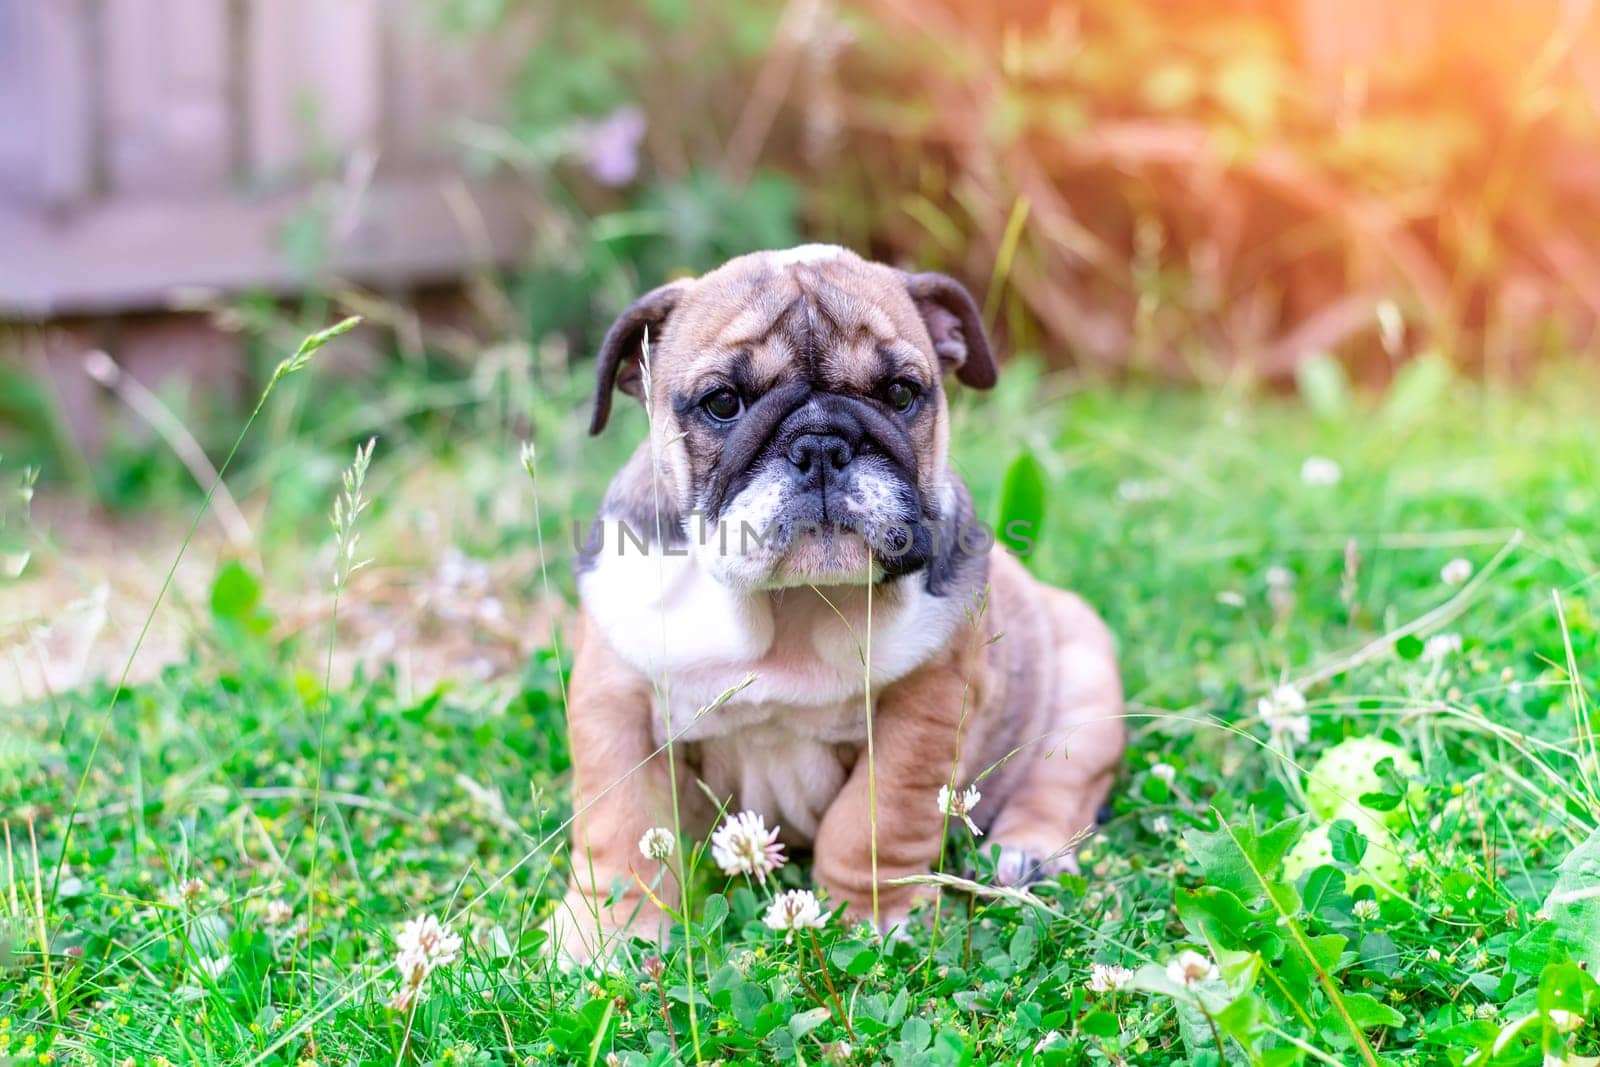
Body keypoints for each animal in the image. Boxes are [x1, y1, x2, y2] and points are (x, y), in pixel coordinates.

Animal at [550, 247, 1126, 959]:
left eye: (902, 394)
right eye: (722, 403)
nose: (821, 444)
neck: (785, 608)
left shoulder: (918, 717)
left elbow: (875, 822)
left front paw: (875, 916)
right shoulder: (616, 706)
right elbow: (622, 827)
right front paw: (608, 934)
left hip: (1084, 684)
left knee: (1059, 784)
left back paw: (1028, 853)